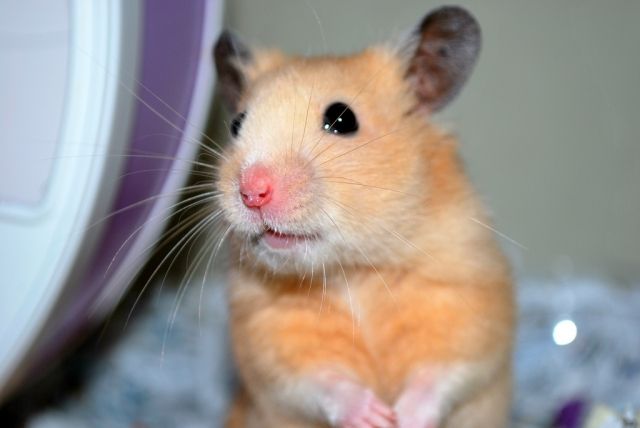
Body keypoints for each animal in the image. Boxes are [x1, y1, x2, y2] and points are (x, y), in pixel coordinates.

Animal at [212, 6, 514, 428]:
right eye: (236, 124)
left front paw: (404, 418)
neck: (352, 271)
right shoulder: (271, 338)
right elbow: (322, 381)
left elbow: (440, 373)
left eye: (342, 119)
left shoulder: (467, 304)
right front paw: (373, 417)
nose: (252, 191)